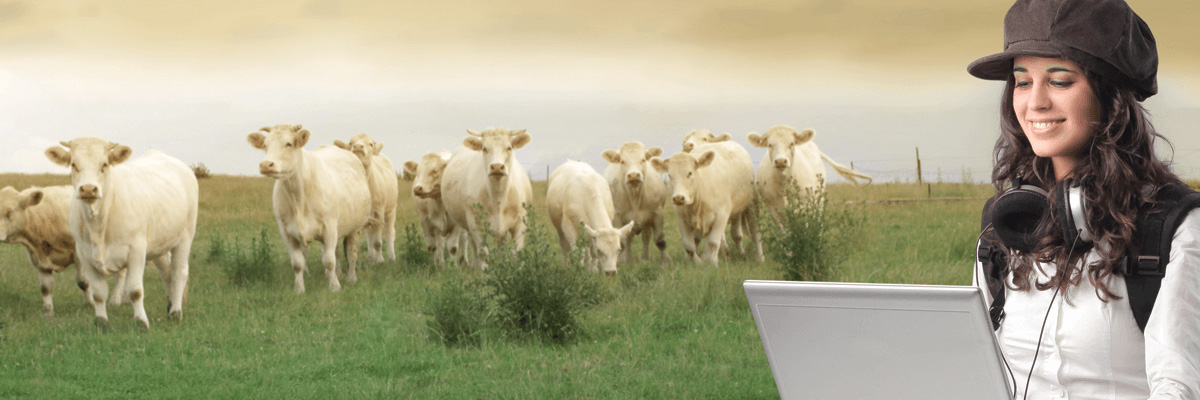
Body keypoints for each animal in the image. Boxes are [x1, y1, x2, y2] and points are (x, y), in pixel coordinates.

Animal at [44, 138, 198, 329]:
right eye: (73, 164)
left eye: (104, 164)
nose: (88, 189)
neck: (98, 224)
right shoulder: (84, 254)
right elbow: (98, 293)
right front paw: (101, 322)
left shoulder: (137, 250)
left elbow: (135, 291)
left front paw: (141, 322)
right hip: (160, 243)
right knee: (166, 273)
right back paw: (170, 307)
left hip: (185, 235)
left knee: (179, 272)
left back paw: (176, 311)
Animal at [247, 124, 372, 293]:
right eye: (265, 145)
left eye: (288, 144)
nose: (266, 165)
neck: (298, 195)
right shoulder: (286, 232)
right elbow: (298, 262)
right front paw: (299, 288)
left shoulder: (329, 227)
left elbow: (329, 260)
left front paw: (334, 286)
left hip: (355, 227)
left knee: (352, 252)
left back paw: (351, 277)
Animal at [333, 133, 399, 264]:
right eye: (350, 142)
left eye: (371, 144)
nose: (358, 146)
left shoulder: (378, 213)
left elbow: (378, 242)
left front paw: (380, 261)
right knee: (369, 234)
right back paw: (370, 257)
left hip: (391, 210)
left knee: (389, 233)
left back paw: (391, 256)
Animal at [440, 128, 534, 270]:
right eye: (485, 148)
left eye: (509, 147)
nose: (497, 167)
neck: (498, 198)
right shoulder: (475, 223)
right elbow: (483, 252)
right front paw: (485, 272)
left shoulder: (520, 221)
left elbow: (517, 252)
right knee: (473, 245)